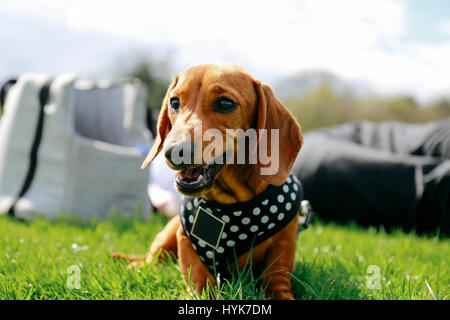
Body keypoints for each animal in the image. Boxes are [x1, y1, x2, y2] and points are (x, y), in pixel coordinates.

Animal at [113, 63, 302, 298]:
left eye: (225, 103)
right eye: (174, 102)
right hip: (166, 236)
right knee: (150, 260)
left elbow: (277, 279)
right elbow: (198, 278)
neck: (231, 203)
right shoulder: (185, 240)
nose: (174, 151)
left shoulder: (284, 245)